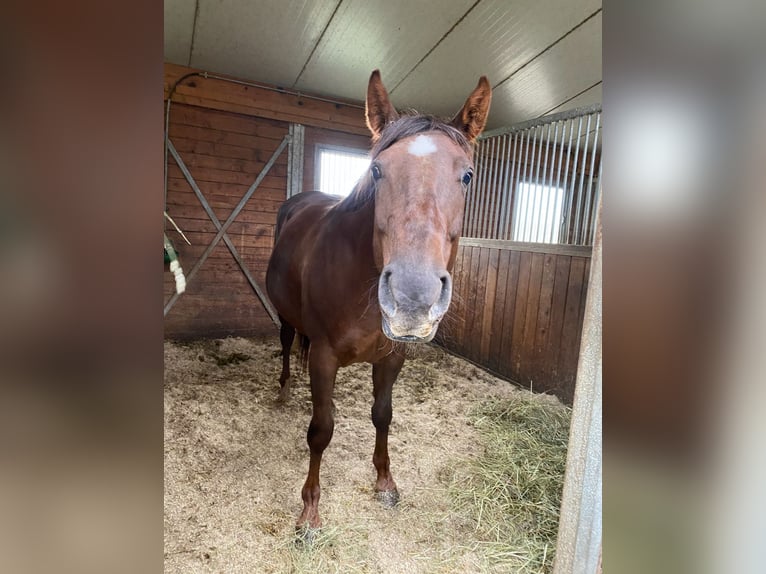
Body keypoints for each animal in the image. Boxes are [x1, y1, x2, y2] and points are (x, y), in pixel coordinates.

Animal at [266, 70, 492, 532]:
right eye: (376, 170)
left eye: (467, 176)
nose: (412, 296)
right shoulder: (324, 357)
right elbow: (321, 430)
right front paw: (310, 512)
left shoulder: (392, 357)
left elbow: (382, 415)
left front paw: (386, 483)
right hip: (286, 318)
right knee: (286, 342)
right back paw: (283, 390)